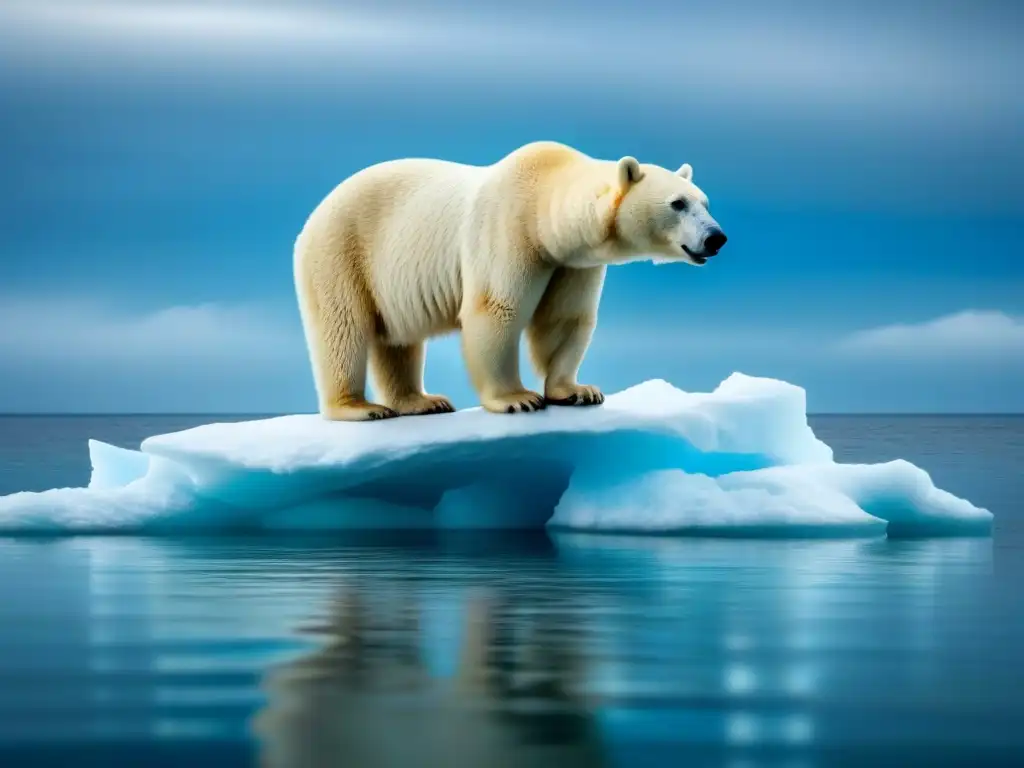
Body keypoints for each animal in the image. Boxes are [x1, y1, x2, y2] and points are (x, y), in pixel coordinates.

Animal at [296, 141, 729, 423]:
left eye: (705, 202)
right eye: (677, 203)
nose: (717, 238)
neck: (543, 198)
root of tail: (314, 214)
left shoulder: (571, 261)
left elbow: (564, 319)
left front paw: (578, 391)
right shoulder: (509, 231)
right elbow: (497, 309)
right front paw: (517, 399)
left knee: (398, 340)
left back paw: (422, 401)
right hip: (341, 252)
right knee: (342, 329)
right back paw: (358, 407)